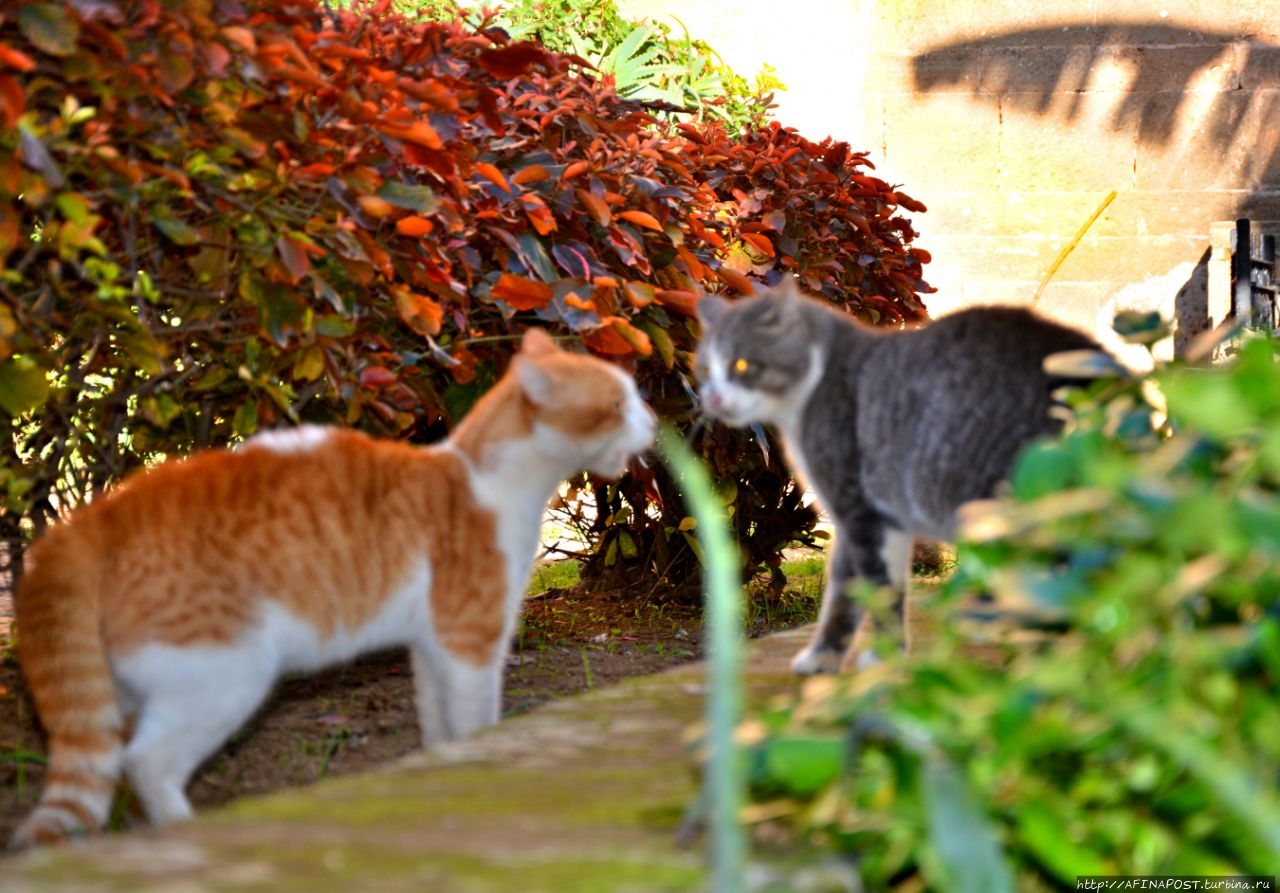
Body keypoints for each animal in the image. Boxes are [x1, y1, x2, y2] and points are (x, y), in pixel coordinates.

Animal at [7, 330, 650, 844]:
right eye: (619, 403)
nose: (653, 421)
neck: (487, 480)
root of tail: (91, 519)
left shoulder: (431, 648)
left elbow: (441, 728)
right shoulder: (470, 640)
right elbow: (476, 723)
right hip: (226, 672)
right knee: (147, 762)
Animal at [701, 278, 1100, 665]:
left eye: (740, 365)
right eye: (704, 370)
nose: (712, 397)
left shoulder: (858, 506)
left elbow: (875, 587)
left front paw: (876, 657)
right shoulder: (870, 517)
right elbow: (853, 587)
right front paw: (833, 656)